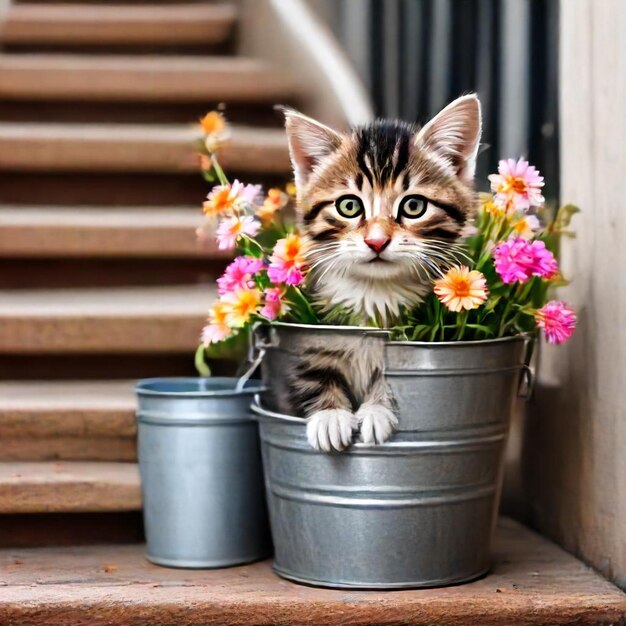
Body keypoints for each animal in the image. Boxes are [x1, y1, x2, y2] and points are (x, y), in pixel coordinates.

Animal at [280, 95, 480, 450]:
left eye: (414, 206)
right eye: (349, 206)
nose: (376, 241)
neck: (374, 292)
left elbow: (391, 377)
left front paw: (376, 409)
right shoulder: (308, 328)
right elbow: (311, 366)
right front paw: (330, 416)